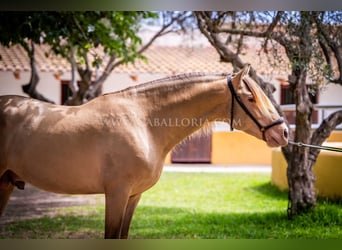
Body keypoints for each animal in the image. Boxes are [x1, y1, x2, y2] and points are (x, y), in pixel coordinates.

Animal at [0, 64, 288, 238]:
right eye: (250, 98)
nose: (283, 133)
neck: (142, 121)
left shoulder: (133, 196)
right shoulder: (116, 193)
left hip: (5, 184)